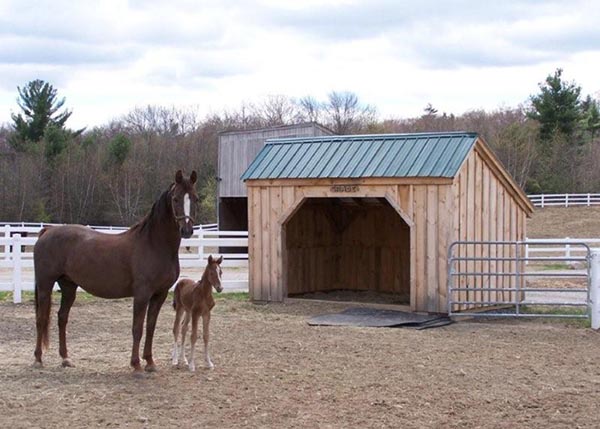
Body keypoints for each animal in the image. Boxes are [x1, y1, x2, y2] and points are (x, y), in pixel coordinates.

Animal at [34, 169, 198, 372]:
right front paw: (136, 364)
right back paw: (38, 359)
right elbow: (137, 328)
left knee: (62, 318)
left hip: (68, 286)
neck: (154, 244)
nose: (187, 230)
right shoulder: (142, 294)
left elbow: (150, 327)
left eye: (195, 198)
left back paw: (65, 358)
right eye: (175, 199)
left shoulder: (160, 294)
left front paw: (150, 362)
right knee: (41, 319)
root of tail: (47, 231)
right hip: (45, 285)